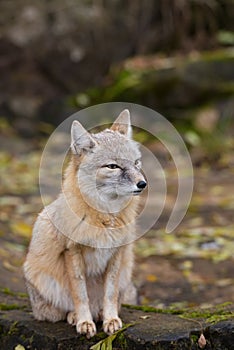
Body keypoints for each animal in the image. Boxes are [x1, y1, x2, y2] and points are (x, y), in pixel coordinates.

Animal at [24, 110, 148, 340]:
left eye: (136, 162)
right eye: (113, 166)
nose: (142, 184)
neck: (106, 218)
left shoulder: (116, 253)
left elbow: (110, 294)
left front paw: (110, 319)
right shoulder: (72, 252)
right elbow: (80, 294)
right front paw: (84, 321)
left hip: (126, 271)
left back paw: (99, 314)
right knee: (61, 309)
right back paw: (75, 316)